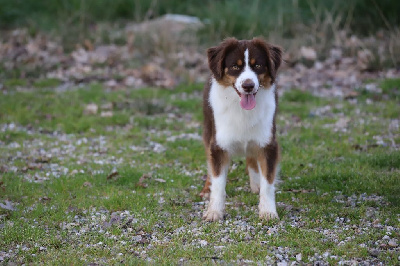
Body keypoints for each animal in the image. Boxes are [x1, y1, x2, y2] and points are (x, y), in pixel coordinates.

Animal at [199, 37, 282, 220]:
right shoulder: (219, 145)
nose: (248, 85)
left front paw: (268, 211)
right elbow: (218, 182)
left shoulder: (268, 143)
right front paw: (214, 211)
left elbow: (268, 182)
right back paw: (207, 189)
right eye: (235, 67)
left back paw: (256, 184)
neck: (242, 110)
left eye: (258, 65)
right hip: (208, 130)